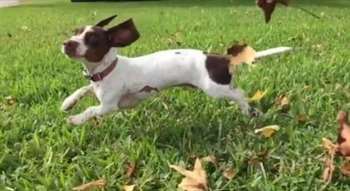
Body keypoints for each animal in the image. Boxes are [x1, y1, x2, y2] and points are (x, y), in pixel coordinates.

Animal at [61, 15, 292, 125]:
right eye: (75, 32)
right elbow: (83, 89)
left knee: (241, 95)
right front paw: (67, 103)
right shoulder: (96, 87)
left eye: (92, 40)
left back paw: (248, 111)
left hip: (215, 89)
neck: (107, 69)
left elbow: (91, 110)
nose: (66, 43)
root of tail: (219, 57)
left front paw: (76, 119)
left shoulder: (109, 106)